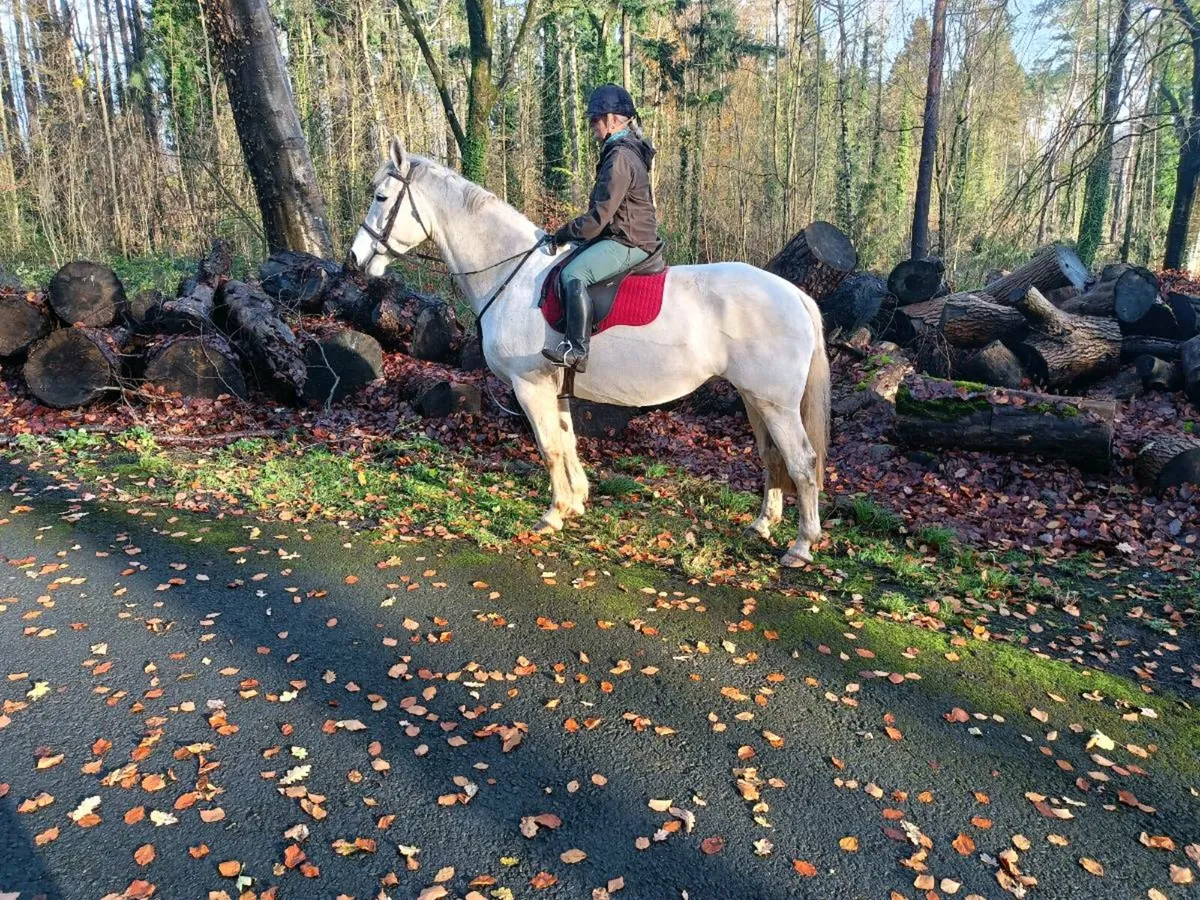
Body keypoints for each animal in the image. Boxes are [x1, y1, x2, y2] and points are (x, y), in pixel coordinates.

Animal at [347, 137, 831, 566]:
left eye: (381, 195)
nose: (355, 258)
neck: (512, 274)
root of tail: (796, 294)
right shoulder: (554, 388)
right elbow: (567, 441)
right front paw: (576, 502)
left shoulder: (530, 386)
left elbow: (549, 447)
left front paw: (553, 514)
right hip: (755, 400)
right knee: (772, 458)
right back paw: (762, 525)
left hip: (774, 404)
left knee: (802, 462)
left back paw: (801, 546)